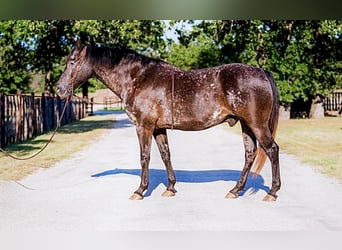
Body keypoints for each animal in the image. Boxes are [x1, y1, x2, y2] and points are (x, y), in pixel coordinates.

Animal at [56, 40, 280, 201]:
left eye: (72, 62)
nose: (59, 89)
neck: (138, 78)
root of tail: (262, 72)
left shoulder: (143, 127)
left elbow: (144, 157)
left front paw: (140, 190)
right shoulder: (158, 129)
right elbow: (166, 155)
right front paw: (170, 187)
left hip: (257, 125)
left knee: (271, 150)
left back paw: (272, 192)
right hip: (246, 125)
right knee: (250, 154)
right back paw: (235, 190)